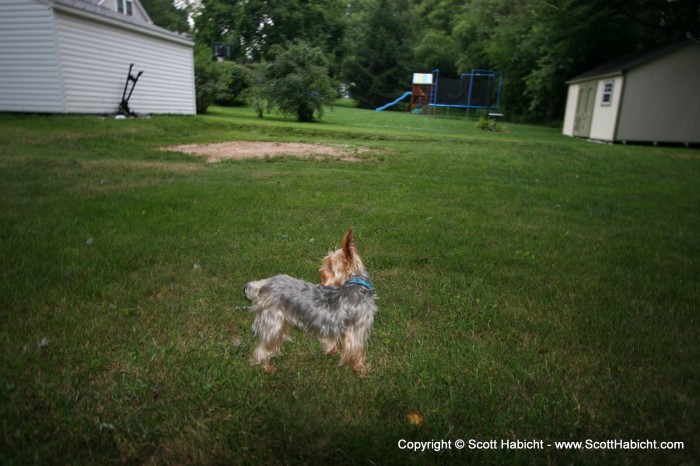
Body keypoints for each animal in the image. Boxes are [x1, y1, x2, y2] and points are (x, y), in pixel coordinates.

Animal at [245, 231, 378, 376]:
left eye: (330, 265)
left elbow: (332, 340)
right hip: (272, 321)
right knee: (263, 347)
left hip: (280, 319)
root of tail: (263, 285)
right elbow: (358, 351)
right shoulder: (358, 329)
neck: (357, 285)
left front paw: (331, 350)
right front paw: (362, 369)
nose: (320, 272)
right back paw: (267, 366)